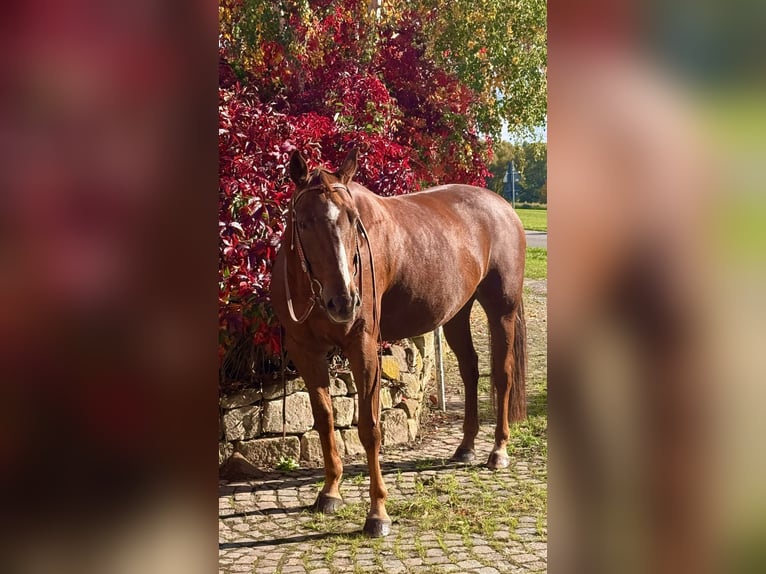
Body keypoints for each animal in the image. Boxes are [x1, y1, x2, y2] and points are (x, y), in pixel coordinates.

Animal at [270, 148, 527, 537]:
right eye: (304, 222)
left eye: (353, 220)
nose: (344, 301)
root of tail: (502, 206)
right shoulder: (306, 351)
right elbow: (325, 420)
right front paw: (330, 492)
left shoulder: (364, 349)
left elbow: (370, 428)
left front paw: (377, 513)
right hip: (456, 314)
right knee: (470, 371)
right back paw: (466, 446)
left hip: (502, 313)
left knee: (502, 376)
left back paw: (497, 451)